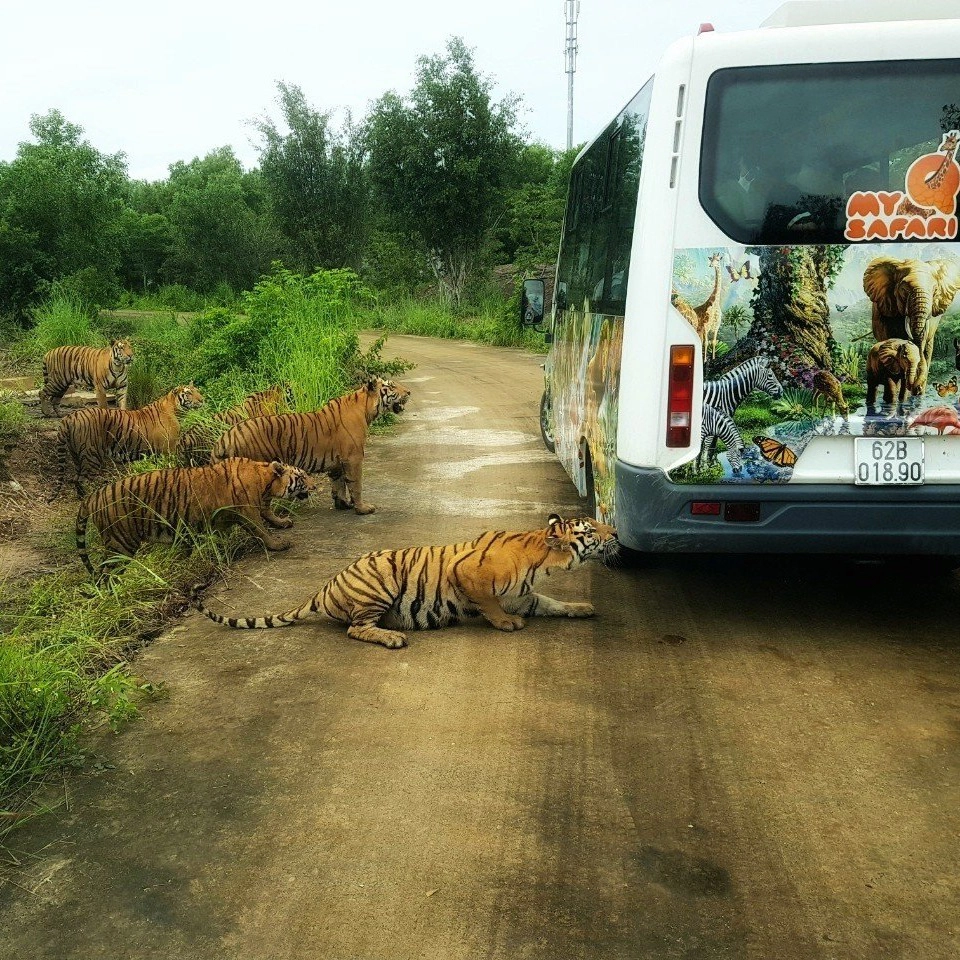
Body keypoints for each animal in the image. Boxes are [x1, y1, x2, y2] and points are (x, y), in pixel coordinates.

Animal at [56, 384, 204, 498]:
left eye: (197, 390)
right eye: (189, 393)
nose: (202, 400)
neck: (176, 410)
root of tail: (70, 416)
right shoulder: (169, 450)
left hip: (76, 455)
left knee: (76, 479)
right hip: (91, 455)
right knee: (82, 481)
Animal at [76, 456, 316, 572]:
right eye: (303, 476)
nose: (315, 486)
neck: (265, 480)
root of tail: (93, 496)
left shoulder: (260, 504)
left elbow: (269, 514)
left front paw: (282, 522)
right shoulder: (248, 511)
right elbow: (261, 529)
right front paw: (278, 544)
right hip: (120, 542)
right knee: (105, 574)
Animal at [191, 512, 620, 648]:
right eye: (590, 530)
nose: (615, 531)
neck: (542, 558)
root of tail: (326, 587)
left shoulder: (525, 595)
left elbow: (552, 603)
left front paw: (582, 607)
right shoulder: (469, 574)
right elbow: (489, 603)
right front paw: (505, 624)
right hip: (379, 583)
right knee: (355, 629)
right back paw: (393, 636)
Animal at [210, 376, 408, 516]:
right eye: (391, 386)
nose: (409, 392)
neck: (366, 409)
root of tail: (223, 439)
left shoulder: (337, 463)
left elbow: (338, 484)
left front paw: (342, 504)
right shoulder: (353, 459)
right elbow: (355, 485)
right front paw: (362, 508)